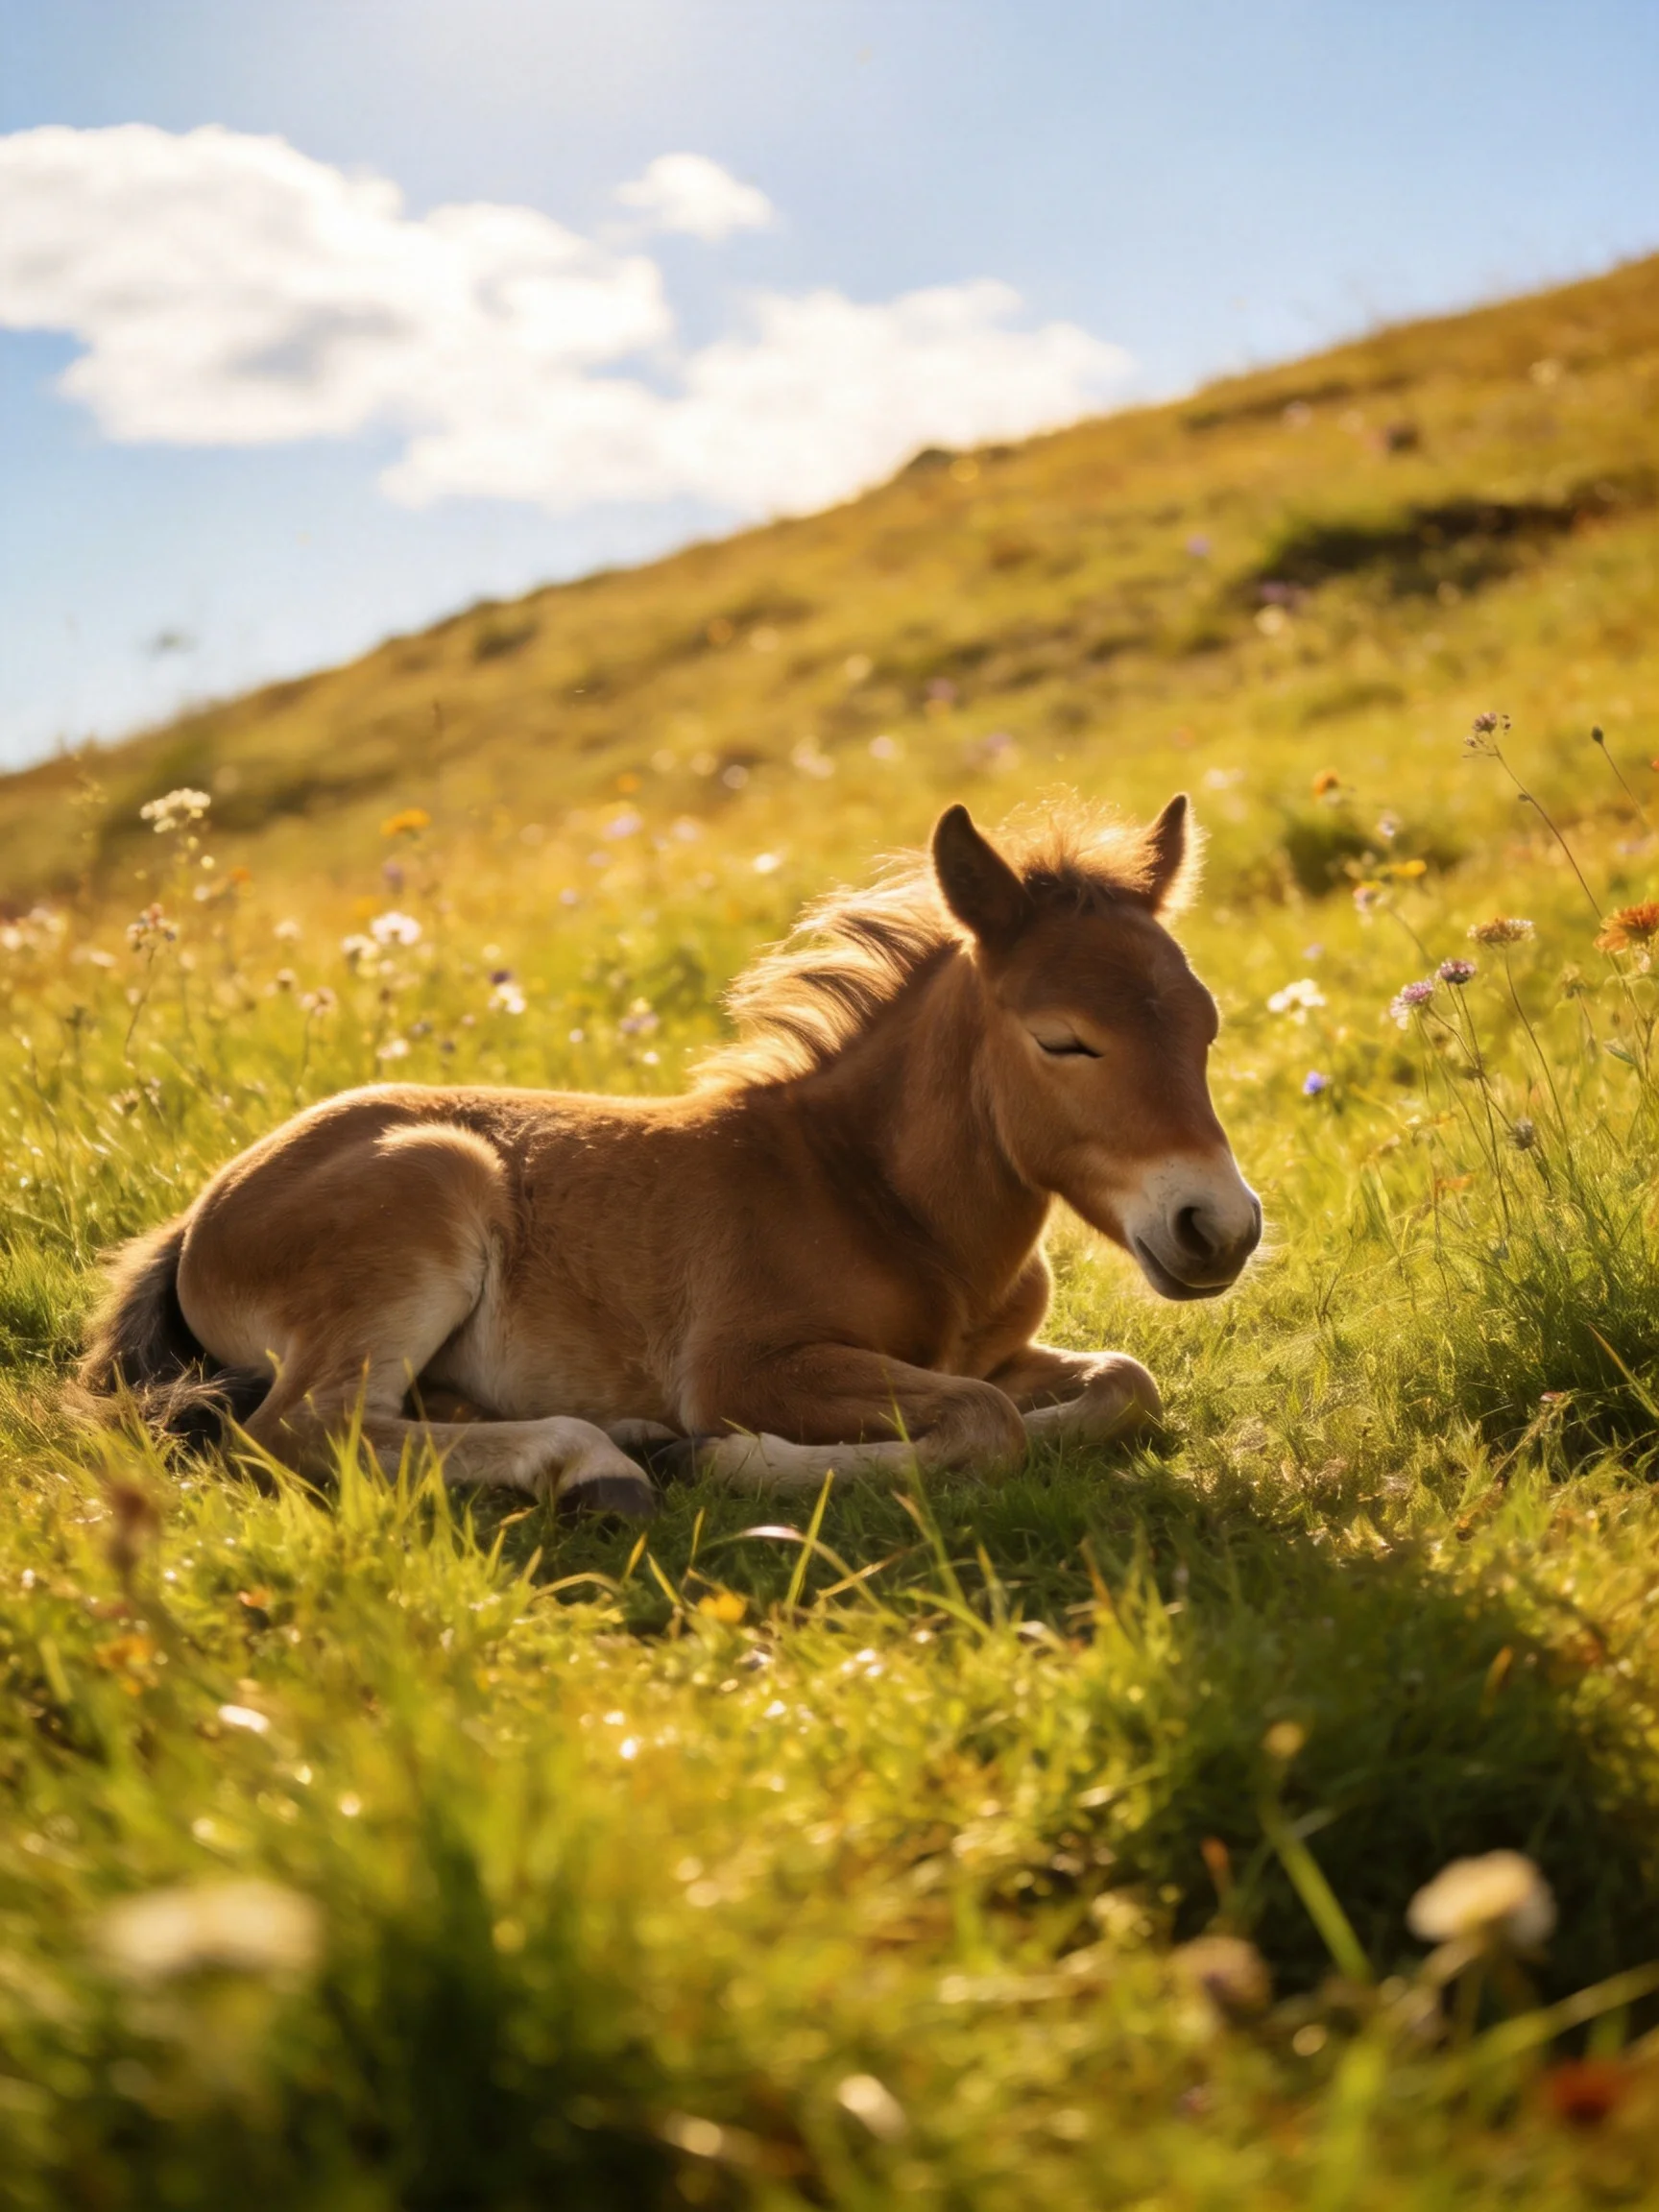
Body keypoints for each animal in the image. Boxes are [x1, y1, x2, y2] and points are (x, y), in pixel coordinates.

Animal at [78, 796, 1261, 1519]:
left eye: (1204, 1024)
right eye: (1064, 1040)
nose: (1221, 1228)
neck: (874, 1196)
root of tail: (199, 1217)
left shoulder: (990, 1352)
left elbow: (1122, 1384)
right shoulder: (750, 1366)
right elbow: (987, 1421)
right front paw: (715, 1456)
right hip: (426, 1195)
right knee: (296, 1433)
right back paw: (600, 1462)